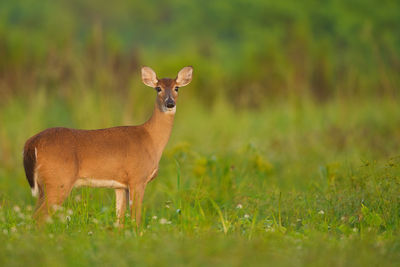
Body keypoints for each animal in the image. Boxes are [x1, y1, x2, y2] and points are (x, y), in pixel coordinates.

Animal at [22, 66, 194, 227]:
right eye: (158, 88)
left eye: (176, 88)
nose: (170, 103)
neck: (150, 139)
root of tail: (32, 142)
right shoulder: (137, 178)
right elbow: (136, 218)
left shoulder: (121, 186)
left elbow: (119, 220)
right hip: (59, 180)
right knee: (39, 217)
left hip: (45, 185)